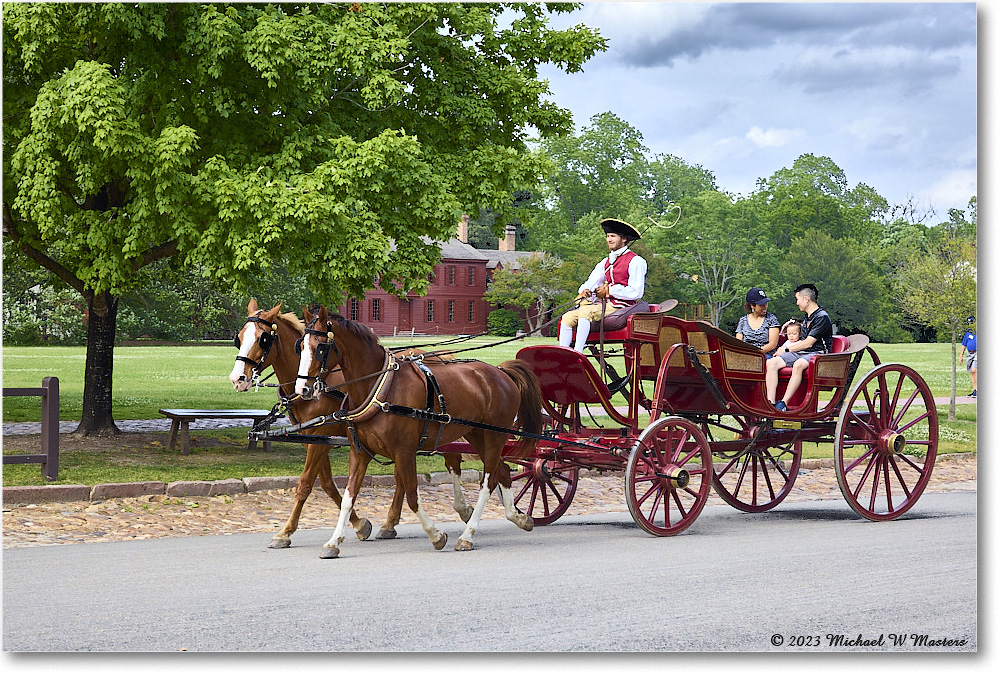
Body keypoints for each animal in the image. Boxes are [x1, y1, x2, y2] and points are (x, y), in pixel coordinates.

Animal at [230, 302, 472, 548]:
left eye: (262, 339)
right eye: (239, 338)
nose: (237, 378)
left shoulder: (321, 437)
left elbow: (306, 483)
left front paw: (286, 532)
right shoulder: (313, 439)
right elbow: (327, 483)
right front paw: (358, 524)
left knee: (451, 461)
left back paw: (462, 510)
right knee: (404, 477)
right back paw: (391, 523)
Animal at [294, 306, 544, 560]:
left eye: (320, 347)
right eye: (301, 346)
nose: (302, 389)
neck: (379, 388)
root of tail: (501, 372)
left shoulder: (404, 452)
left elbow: (413, 496)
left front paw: (436, 535)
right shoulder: (360, 451)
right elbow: (349, 498)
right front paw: (334, 542)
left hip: (494, 436)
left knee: (488, 482)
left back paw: (467, 535)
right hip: (477, 434)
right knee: (502, 472)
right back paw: (518, 517)